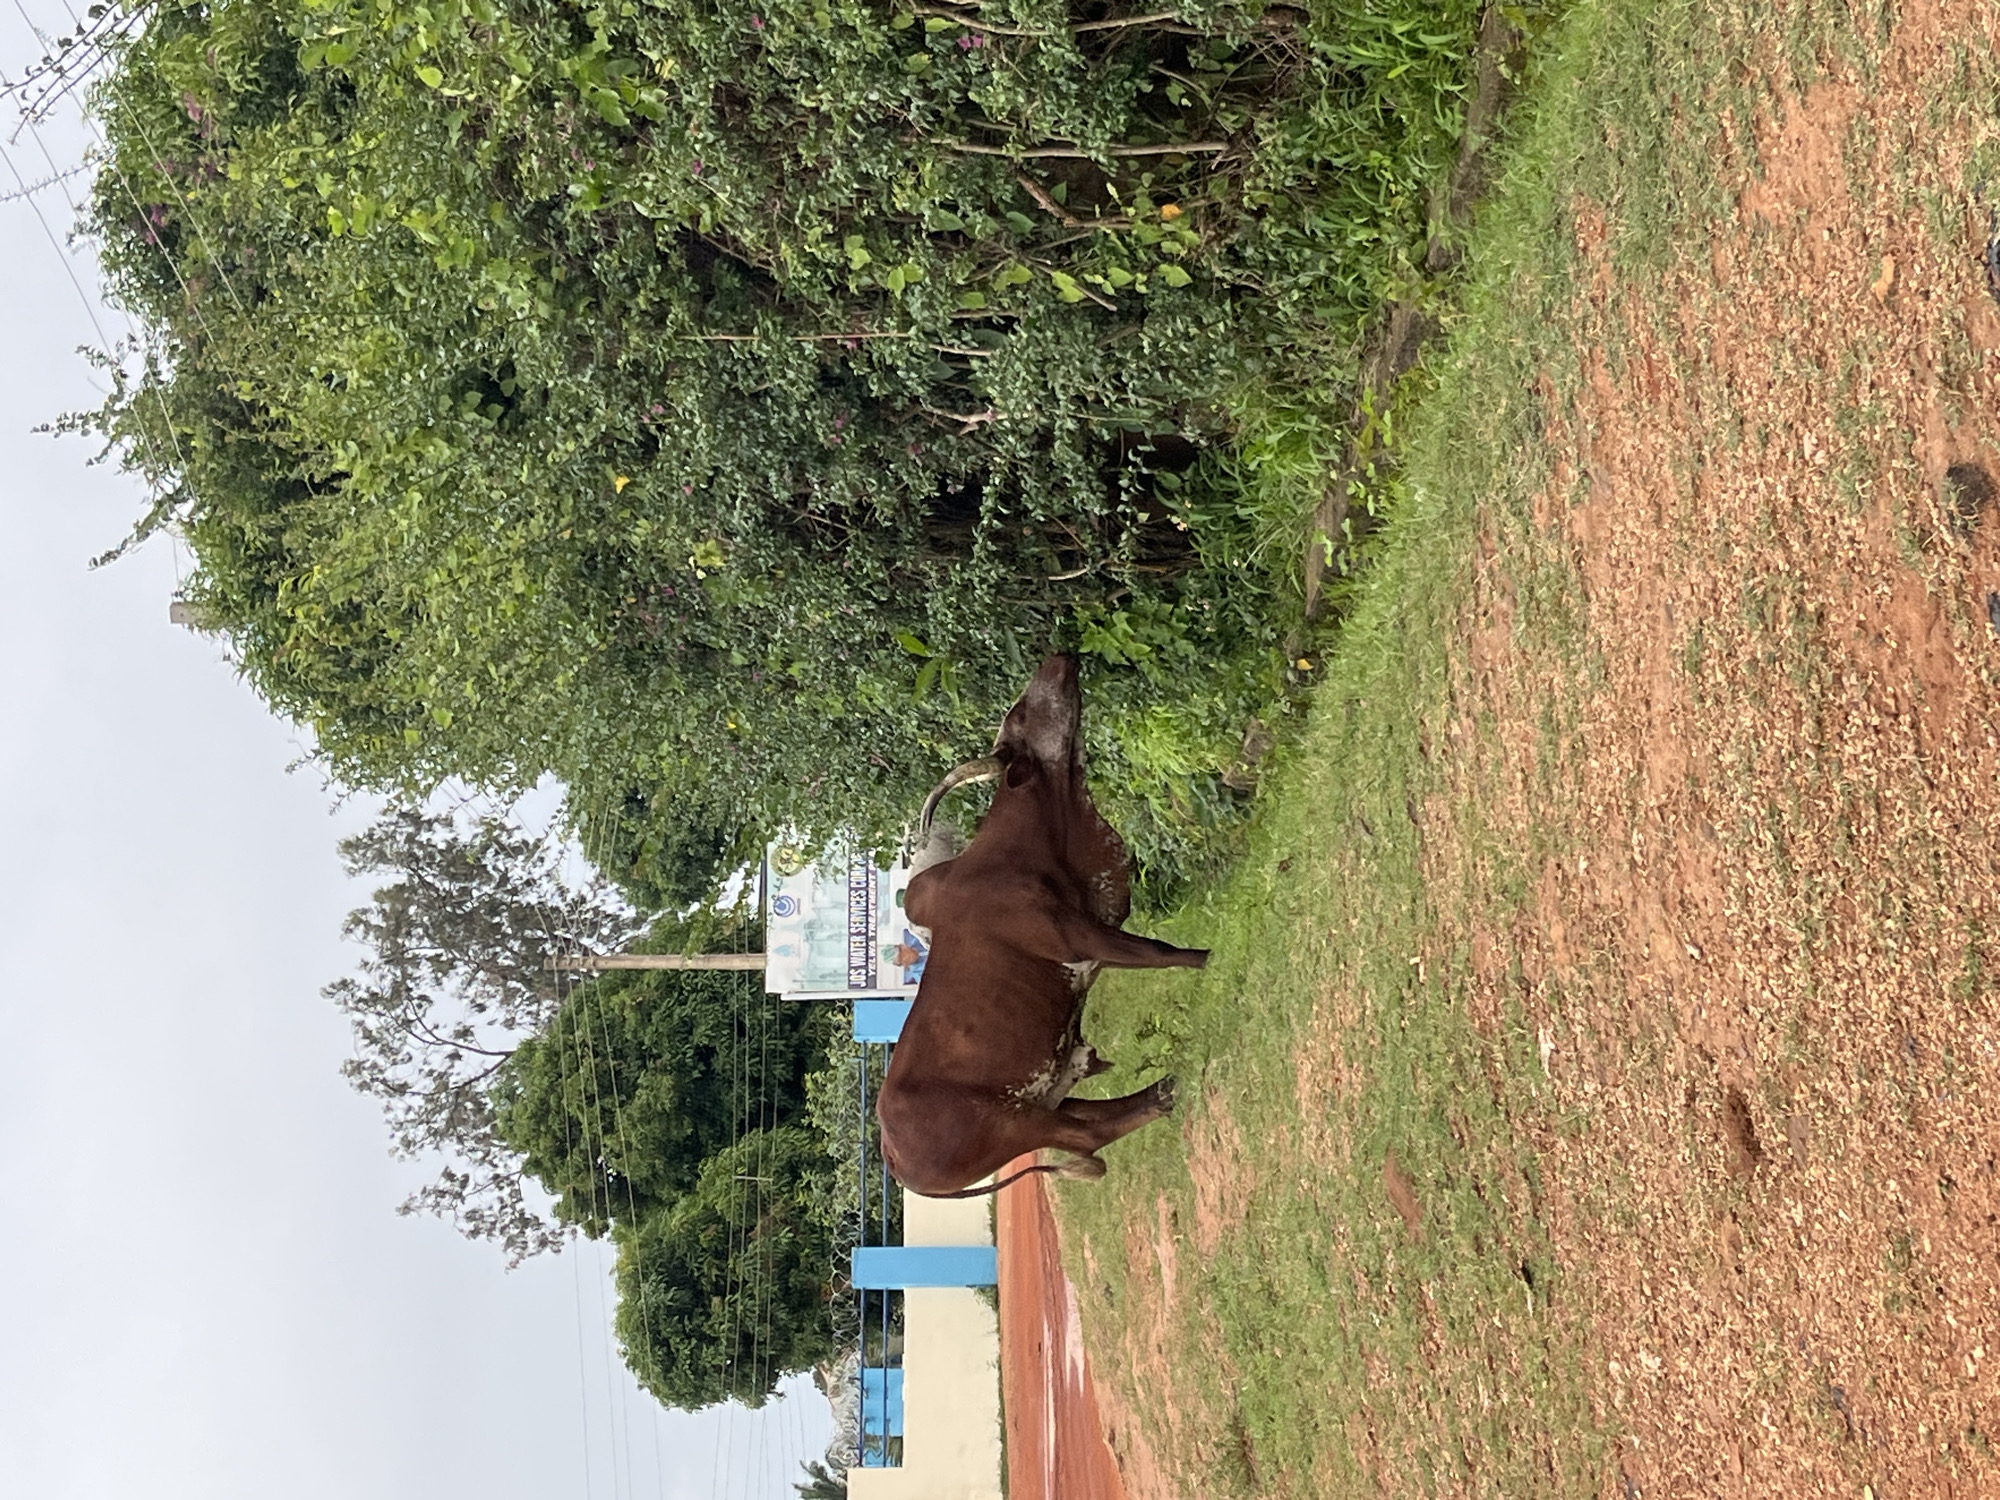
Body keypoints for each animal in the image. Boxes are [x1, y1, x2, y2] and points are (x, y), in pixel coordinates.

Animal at [876, 653, 1207, 1198]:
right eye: (1023, 715)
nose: (1056, 659)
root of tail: (893, 1155)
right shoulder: (1079, 936)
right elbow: (1164, 953)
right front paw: (1210, 960)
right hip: (1016, 1123)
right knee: (1086, 1134)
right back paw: (1161, 1095)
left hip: (1047, 1097)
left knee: (1089, 1123)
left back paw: (1160, 1090)